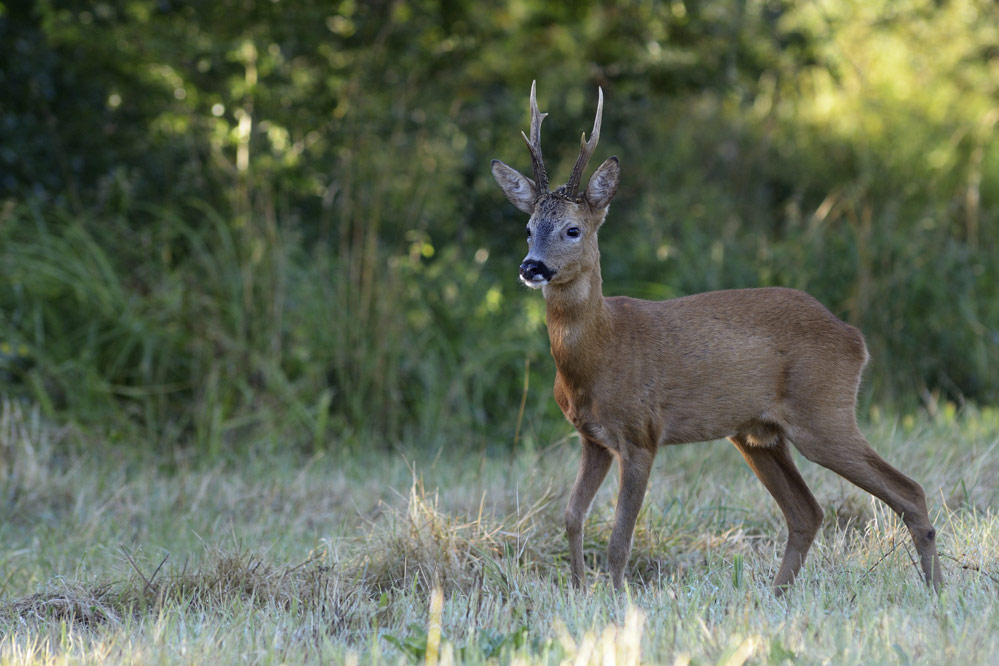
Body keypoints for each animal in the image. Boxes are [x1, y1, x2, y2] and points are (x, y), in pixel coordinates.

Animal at [494, 83, 944, 592]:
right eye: (528, 228)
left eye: (573, 229)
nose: (532, 267)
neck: (598, 355)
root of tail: (855, 339)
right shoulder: (592, 439)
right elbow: (571, 519)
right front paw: (578, 593)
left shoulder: (642, 433)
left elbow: (618, 539)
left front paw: (615, 599)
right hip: (756, 434)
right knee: (807, 512)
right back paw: (777, 595)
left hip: (824, 414)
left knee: (909, 489)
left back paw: (936, 590)